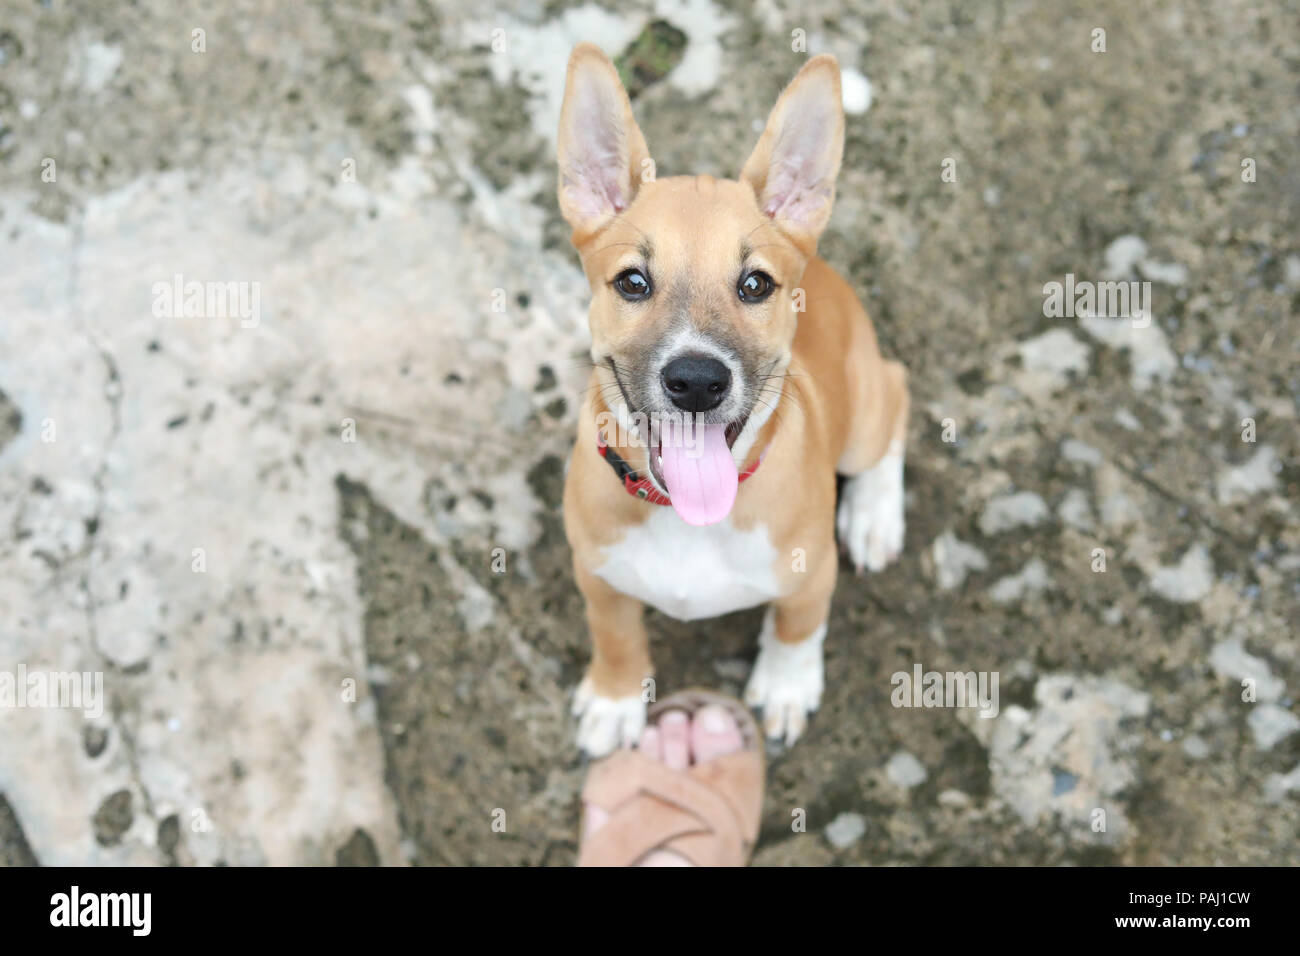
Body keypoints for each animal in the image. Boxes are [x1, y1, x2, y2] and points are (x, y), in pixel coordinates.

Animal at [561, 46, 915, 754]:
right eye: (632, 282)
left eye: (756, 285)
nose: (697, 380)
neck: (686, 518)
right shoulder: (596, 573)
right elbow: (615, 633)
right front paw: (616, 696)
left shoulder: (812, 575)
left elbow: (797, 627)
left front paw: (785, 686)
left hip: (866, 405)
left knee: (897, 393)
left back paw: (874, 515)